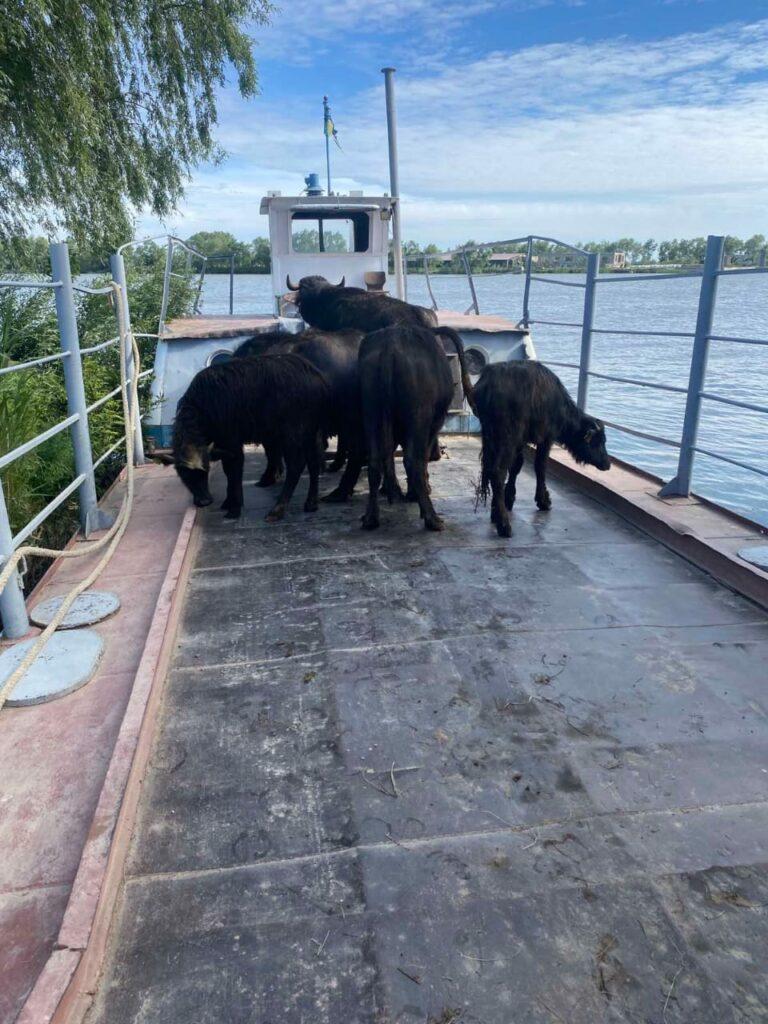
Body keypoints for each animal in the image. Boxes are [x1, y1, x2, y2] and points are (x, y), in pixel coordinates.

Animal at [360, 323, 456, 532]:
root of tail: (390, 346)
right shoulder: (433, 423)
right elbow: (422, 456)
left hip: (371, 411)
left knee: (375, 460)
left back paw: (370, 517)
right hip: (418, 415)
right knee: (413, 460)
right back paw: (432, 519)